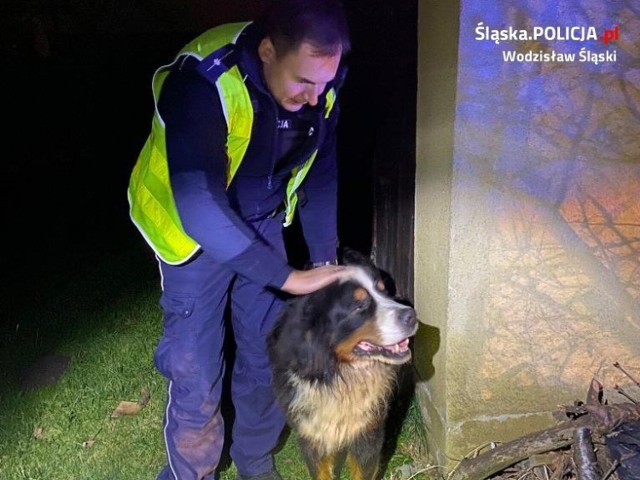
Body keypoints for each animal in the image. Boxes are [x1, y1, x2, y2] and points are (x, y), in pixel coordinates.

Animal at [266, 251, 420, 480]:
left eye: (383, 291)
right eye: (359, 306)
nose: (412, 315)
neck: (341, 375)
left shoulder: (368, 434)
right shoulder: (312, 435)